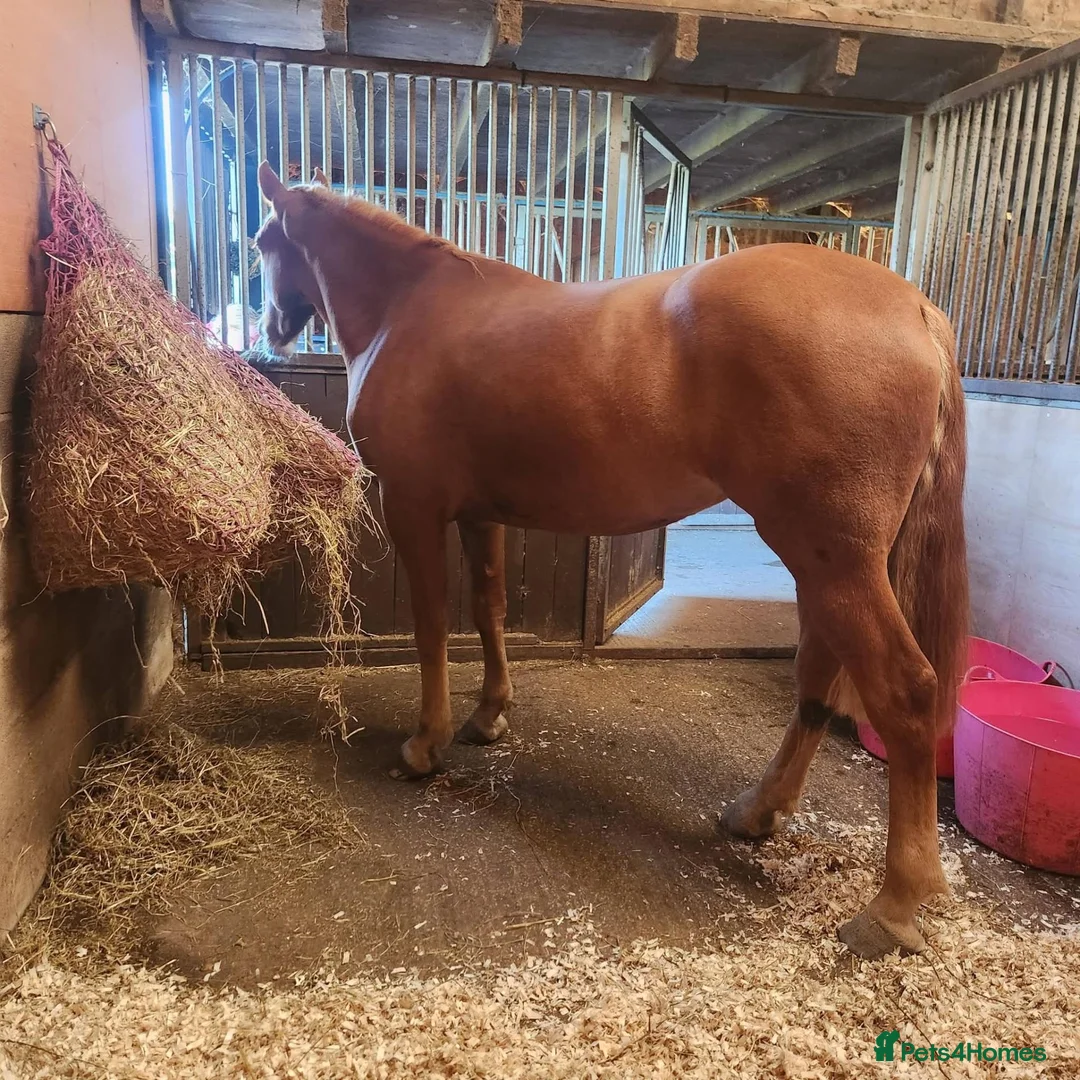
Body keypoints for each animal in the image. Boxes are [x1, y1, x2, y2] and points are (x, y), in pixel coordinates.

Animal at [254, 161, 969, 960]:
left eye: (260, 244)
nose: (268, 330)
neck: (407, 308)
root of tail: (914, 309)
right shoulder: (479, 512)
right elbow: (489, 608)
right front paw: (488, 717)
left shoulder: (413, 507)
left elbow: (434, 624)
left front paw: (424, 744)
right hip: (825, 563)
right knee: (818, 675)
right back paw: (757, 812)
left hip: (833, 560)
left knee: (904, 691)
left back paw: (892, 906)